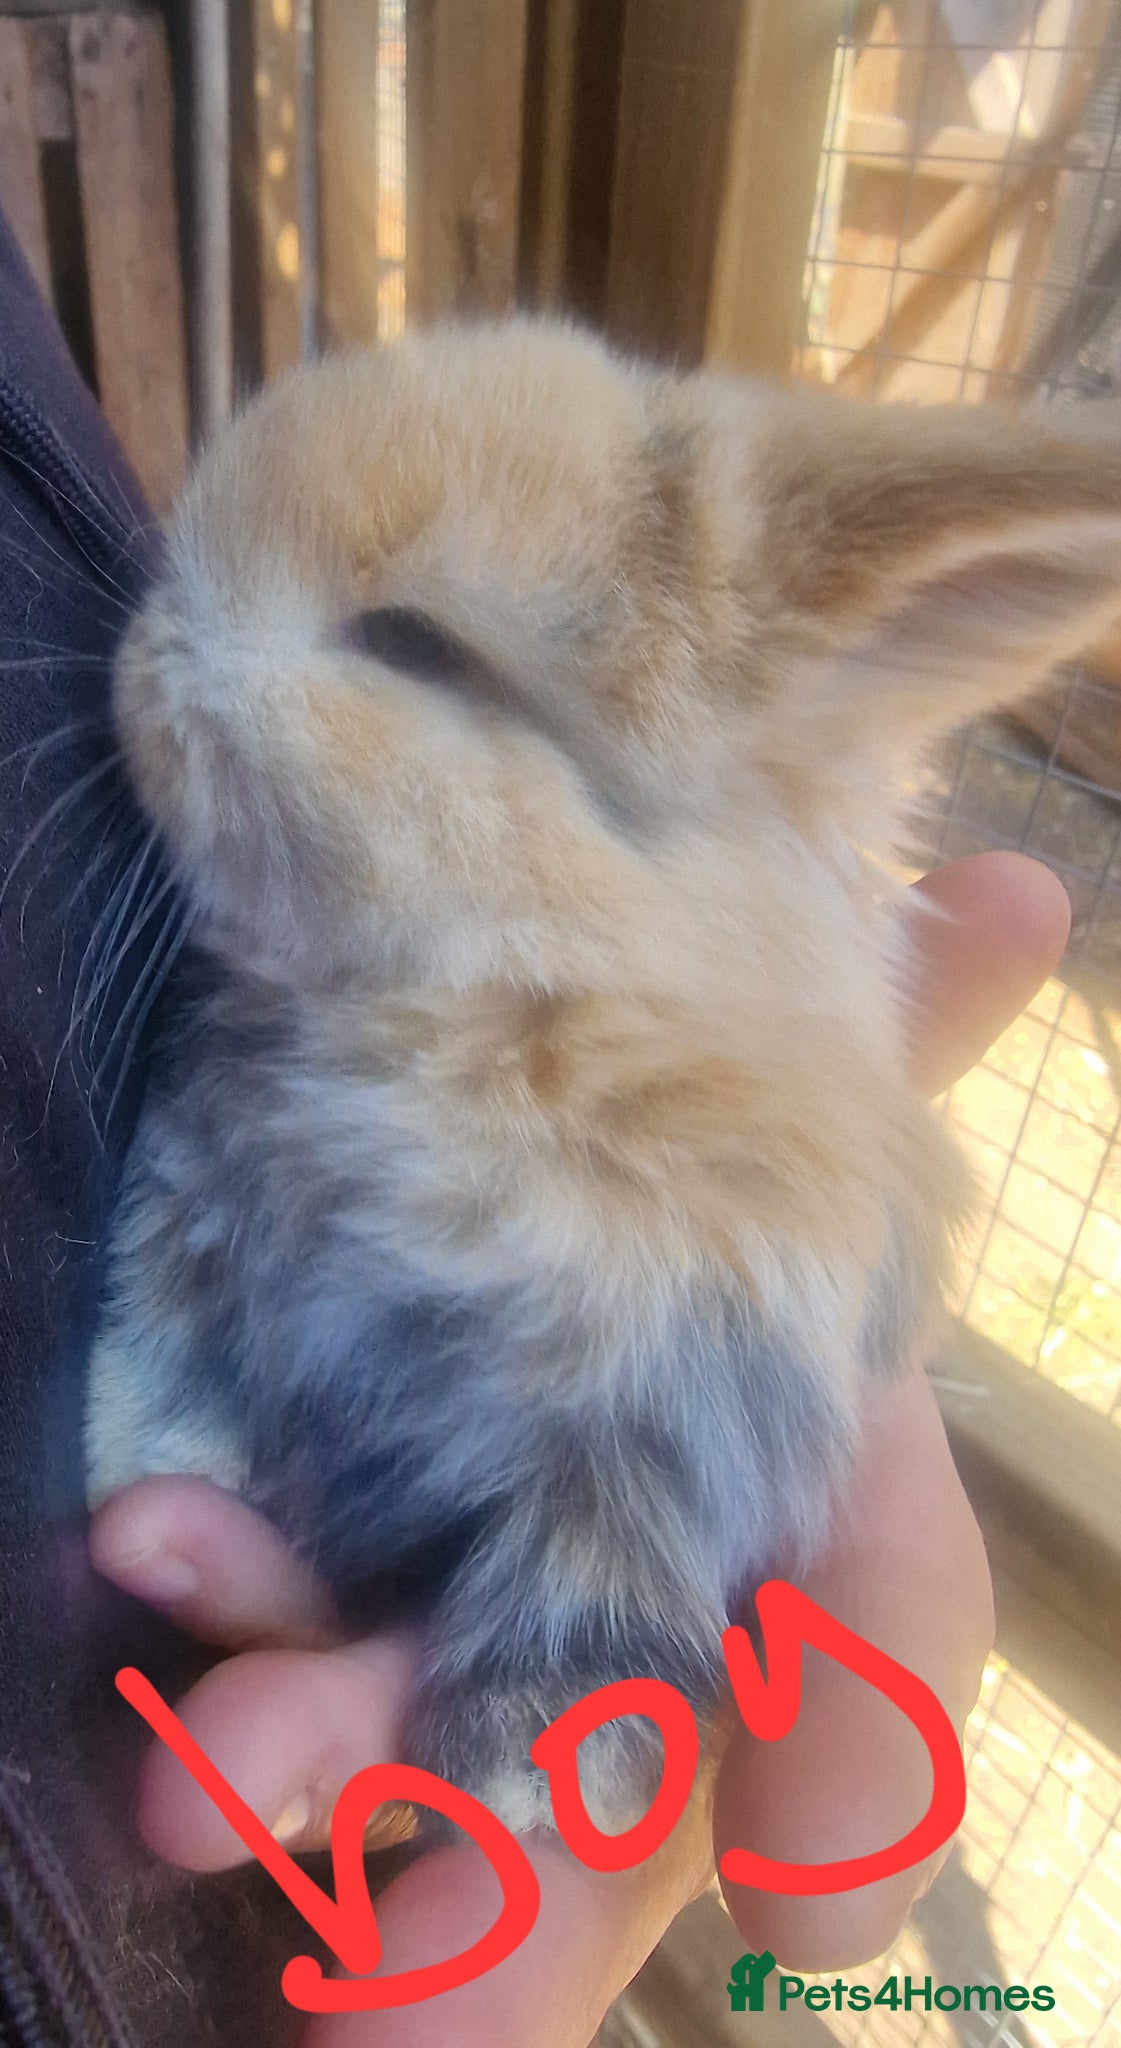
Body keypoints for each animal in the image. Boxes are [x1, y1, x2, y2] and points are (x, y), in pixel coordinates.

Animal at [85, 319, 1121, 1834]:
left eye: (412, 642)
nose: (140, 662)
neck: (503, 1008)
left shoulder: (673, 1397)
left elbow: (593, 1574)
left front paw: (526, 1777)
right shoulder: (202, 1204)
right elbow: (165, 1342)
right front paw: (143, 1469)